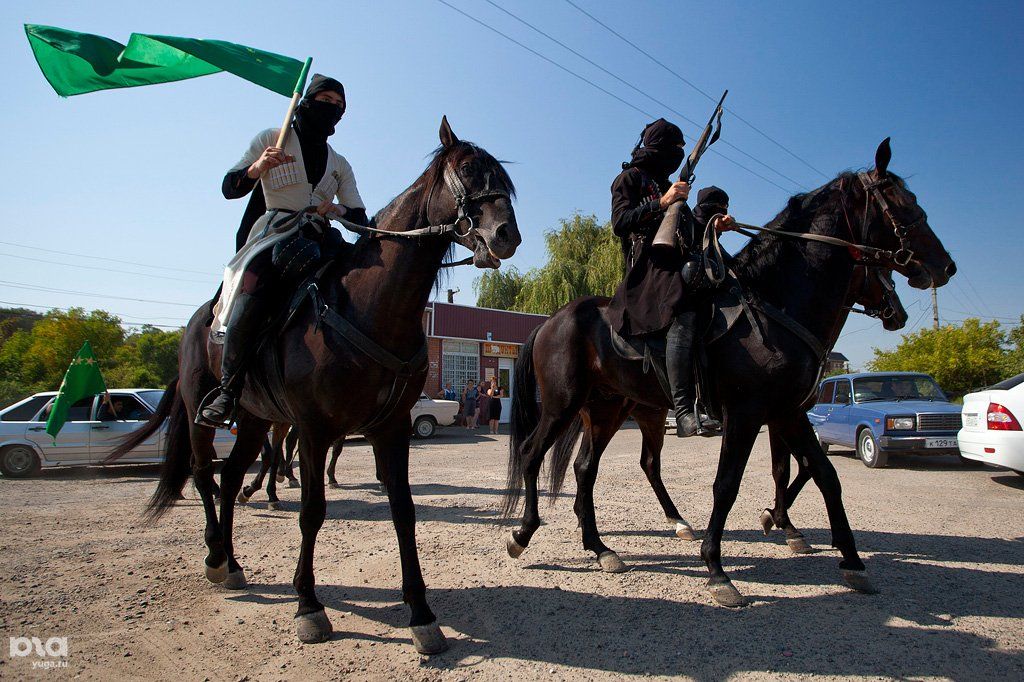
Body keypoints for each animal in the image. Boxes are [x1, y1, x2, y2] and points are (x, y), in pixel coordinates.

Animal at [112, 118, 520, 655]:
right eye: (469, 169)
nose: (507, 234)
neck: (366, 307)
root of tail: (202, 317)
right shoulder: (312, 429)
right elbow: (311, 511)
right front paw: (308, 605)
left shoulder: (391, 430)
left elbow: (404, 510)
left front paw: (421, 613)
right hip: (207, 411)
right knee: (203, 475)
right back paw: (216, 557)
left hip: (255, 419)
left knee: (230, 478)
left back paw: (233, 561)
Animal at [499, 138, 954, 606]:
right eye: (900, 202)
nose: (944, 267)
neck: (775, 303)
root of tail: (551, 320)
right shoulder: (747, 413)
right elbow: (728, 484)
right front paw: (718, 569)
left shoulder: (788, 412)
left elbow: (825, 476)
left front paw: (851, 561)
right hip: (563, 406)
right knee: (532, 454)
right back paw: (522, 534)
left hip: (606, 410)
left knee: (586, 469)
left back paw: (601, 548)